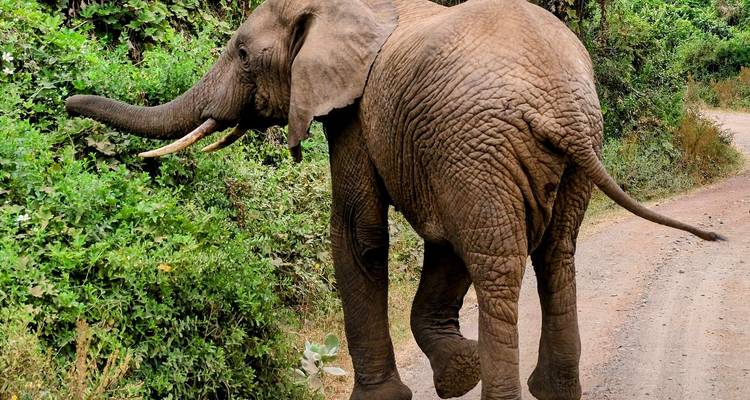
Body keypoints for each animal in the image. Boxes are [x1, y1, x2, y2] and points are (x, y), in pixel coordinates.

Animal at [65, 0, 723, 398]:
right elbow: (442, 239)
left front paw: (395, 393)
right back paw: (552, 391)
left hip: (481, 141)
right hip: (552, 145)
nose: (69, 103)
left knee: (497, 265)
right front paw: (457, 374)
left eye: (244, 54)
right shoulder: (434, 151)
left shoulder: (359, 112)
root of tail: (559, 100)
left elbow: (358, 231)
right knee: (555, 254)